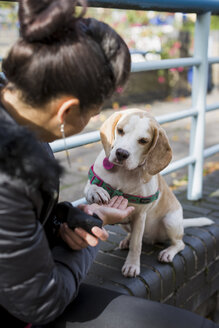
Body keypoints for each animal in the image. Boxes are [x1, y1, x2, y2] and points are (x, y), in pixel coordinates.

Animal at [84, 109, 214, 276]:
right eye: (120, 130)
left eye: (143, 141)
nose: (121, 153)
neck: (124, 174)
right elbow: (90, 188)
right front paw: (96, 191)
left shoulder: (140, 216)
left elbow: (136, 244)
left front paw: (132, 265)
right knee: (133, 234)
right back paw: (127, 240)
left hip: (170, 221)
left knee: (180, 244)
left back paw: (168, 252)